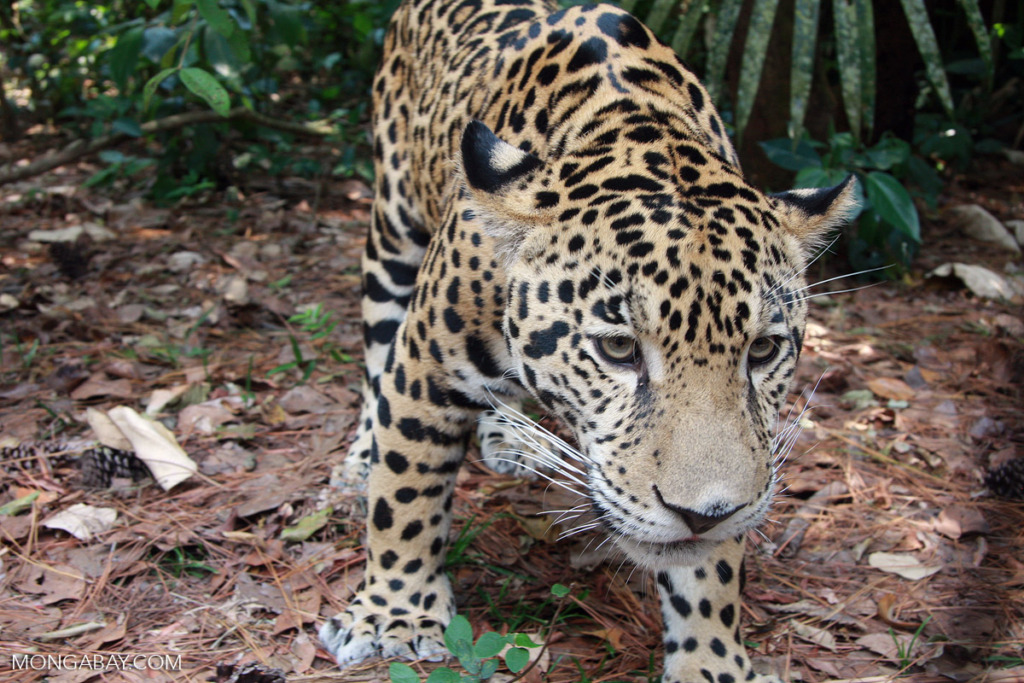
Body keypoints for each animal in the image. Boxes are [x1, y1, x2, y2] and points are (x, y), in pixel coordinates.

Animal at [319, 1, 858, 681]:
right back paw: (360, 458)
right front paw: (394, 614)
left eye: (761, 352)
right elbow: (405, 493)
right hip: (392, 232)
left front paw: (712, 660)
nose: (702, 514)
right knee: (375, 353)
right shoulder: (426, 368)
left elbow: (711, 567)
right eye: (618, 350)